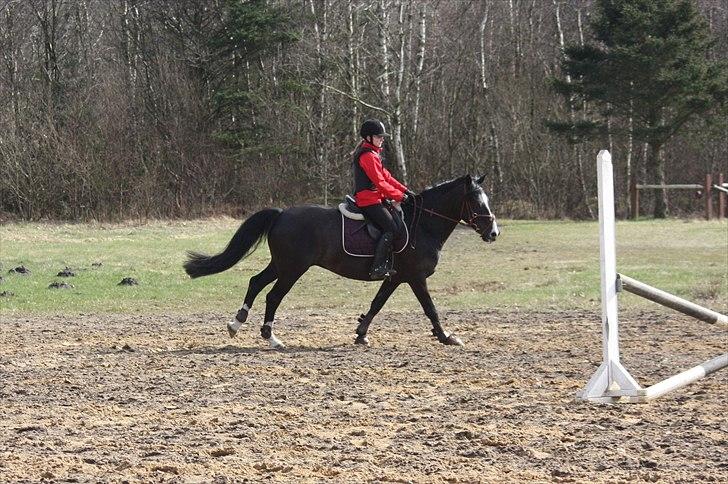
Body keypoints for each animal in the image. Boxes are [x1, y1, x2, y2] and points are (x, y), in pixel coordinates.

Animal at [185, 174, 498, 348]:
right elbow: (430, 309)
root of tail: (283, 213)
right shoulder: (415, 276)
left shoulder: (396, 276)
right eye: (476, 201)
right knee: (273, 296)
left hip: (281, 264)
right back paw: (271, 337)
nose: (493, 232)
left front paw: (361, 334)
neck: (422, 224)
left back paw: (236, 324)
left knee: (255, 282)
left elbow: (377, 304)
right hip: (293, 268)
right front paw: (447, 337)